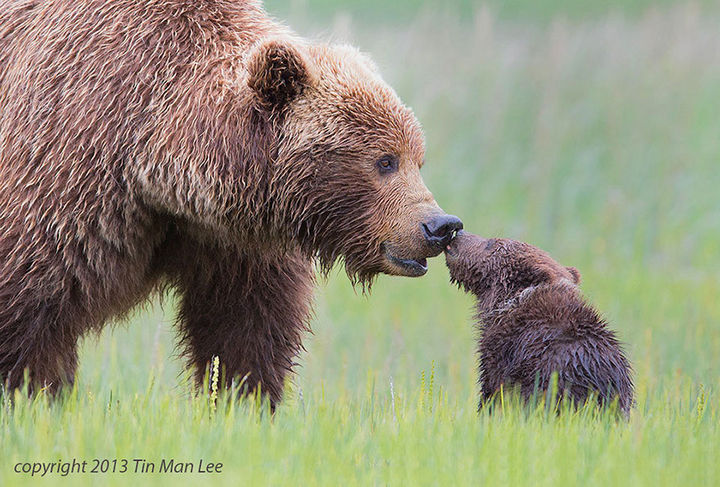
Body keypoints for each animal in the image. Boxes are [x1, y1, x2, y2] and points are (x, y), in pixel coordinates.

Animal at [0, 0, 462, 405]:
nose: (440, 225)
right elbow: (30, 307)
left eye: (417, 158)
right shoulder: (69, 170)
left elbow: (245, 327)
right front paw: (32, 395)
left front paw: (242, 402)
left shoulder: (234, 240)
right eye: (385, 161)